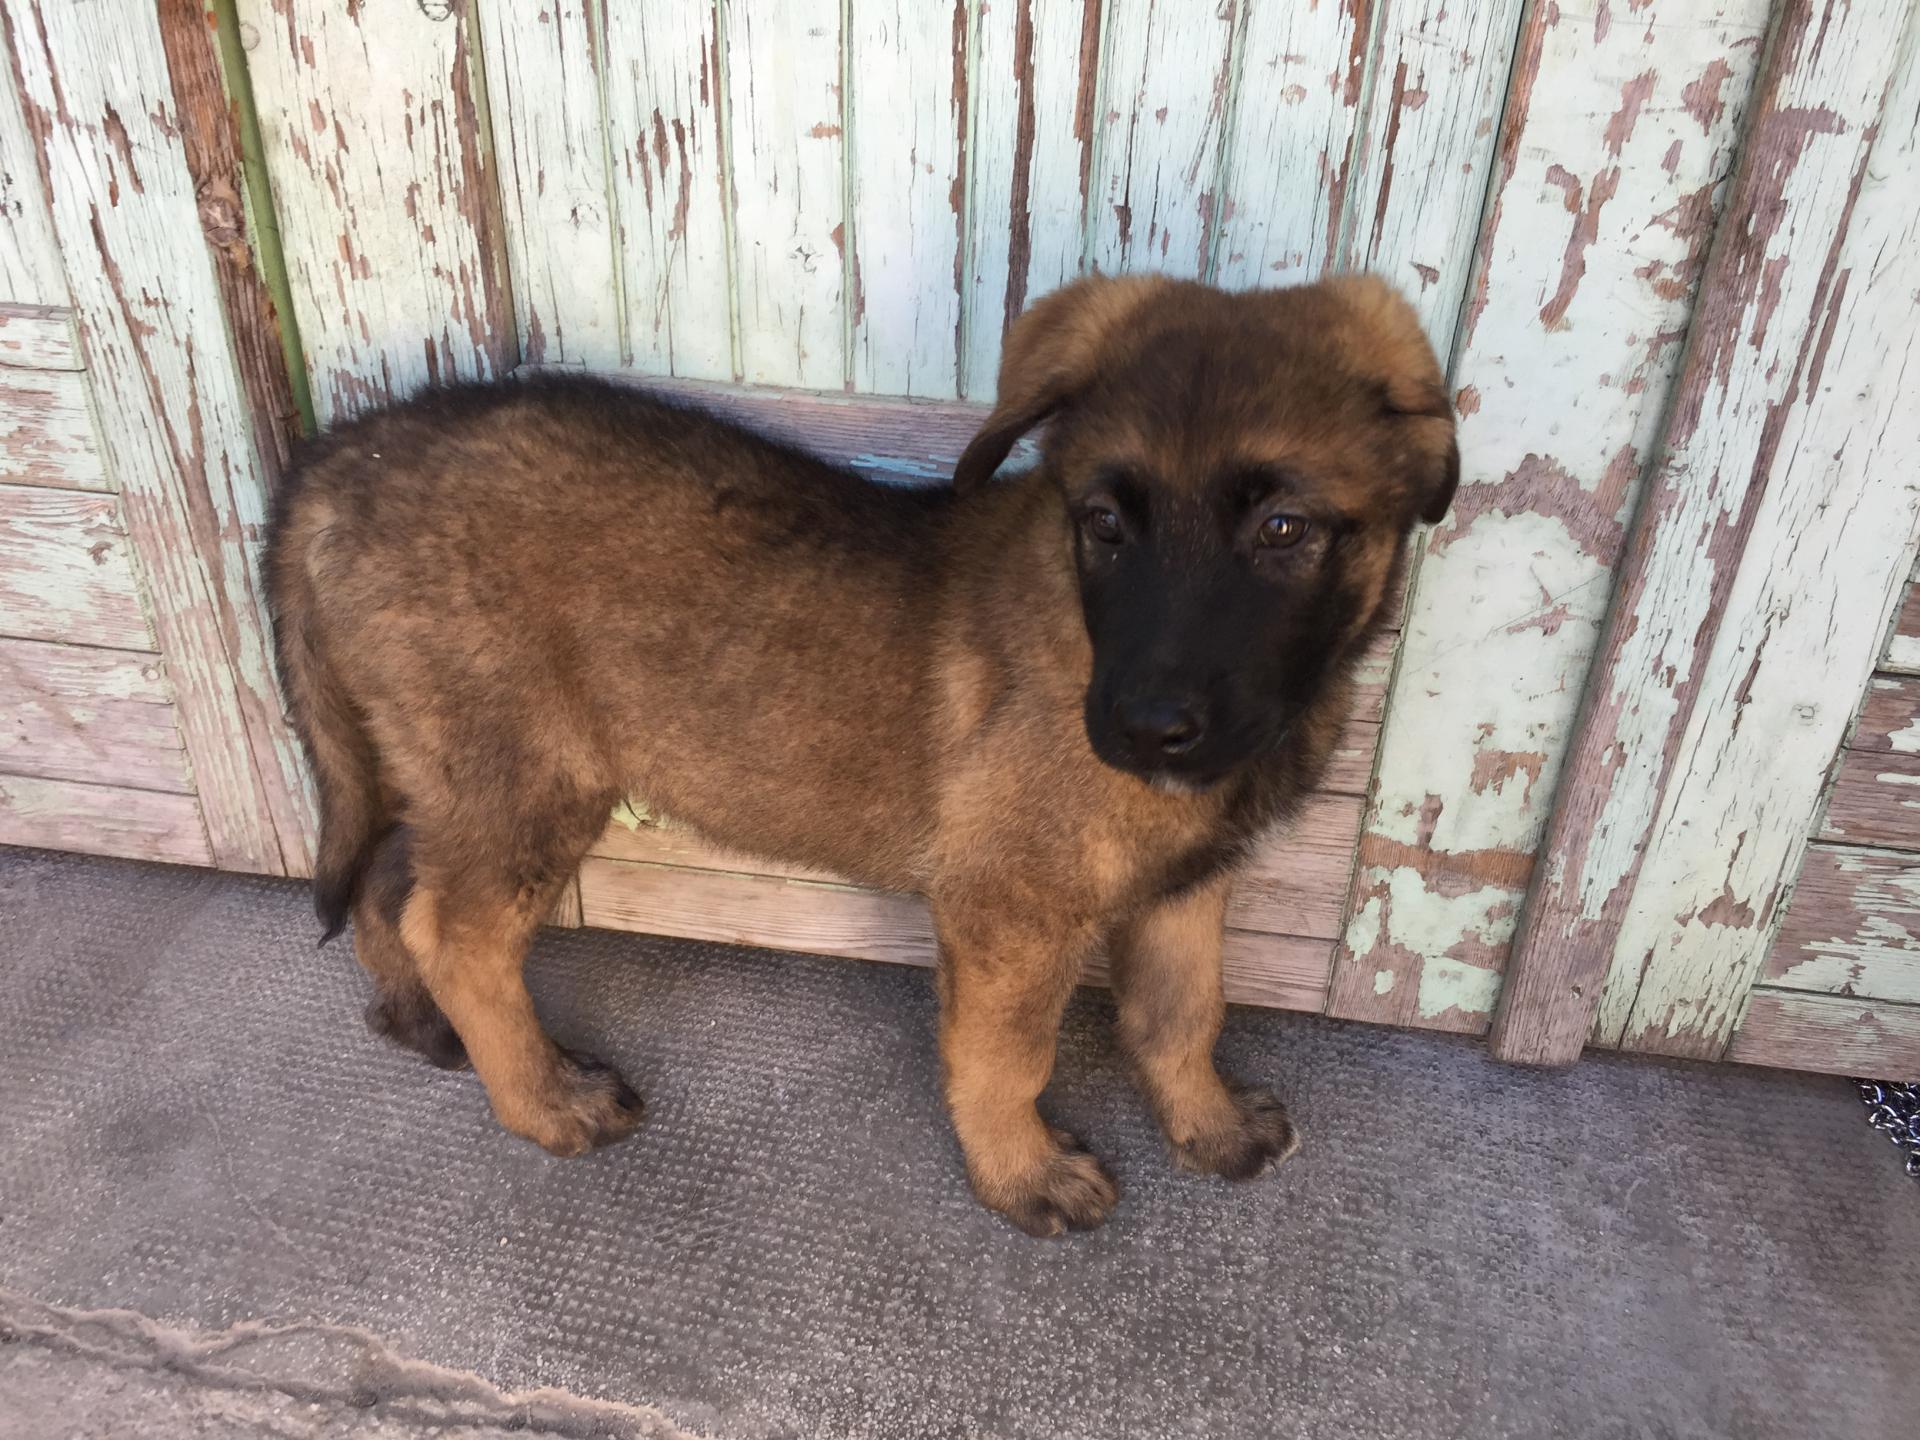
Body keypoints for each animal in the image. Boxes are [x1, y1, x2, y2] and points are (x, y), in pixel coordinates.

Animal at [266, 272, 1451, 1244]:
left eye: (1287, 530)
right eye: (1106, 523)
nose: (1143, 727)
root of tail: (337, 459)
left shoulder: (1184, 885)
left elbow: (1183, 1013)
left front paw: (1208, 1128)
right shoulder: (1008, 905)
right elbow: (1008, 1058)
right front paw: (1022, 1176)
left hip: (452, 772)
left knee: (391, 883)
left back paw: (421, 1021)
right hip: (524, 777)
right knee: (459, 933)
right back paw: (545, 1101)